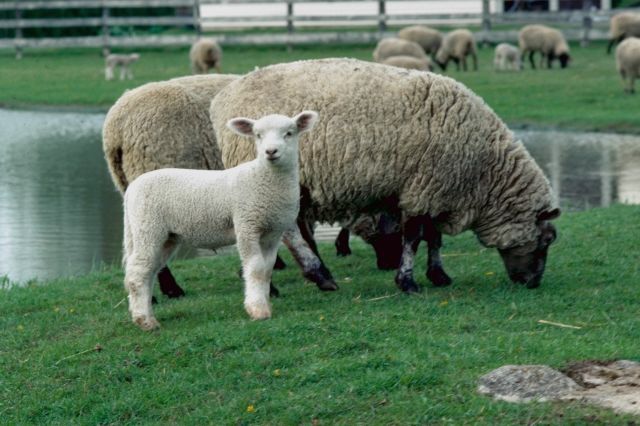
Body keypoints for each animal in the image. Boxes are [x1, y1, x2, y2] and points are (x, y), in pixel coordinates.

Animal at [122, 111, 318, 330]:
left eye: (289, 133)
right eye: (258, 135)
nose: (270, 151)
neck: (263, 178)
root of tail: (132, 188)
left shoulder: (272, 233)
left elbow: (266, 270)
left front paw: (265, 304)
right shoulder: (246, 224)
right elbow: (255, 268)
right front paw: (257, 309)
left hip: (165, 236)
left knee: (149, 270)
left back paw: (146, 314)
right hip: (148, 227)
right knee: (138, 272)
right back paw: (145, 320)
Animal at [210, 58, 561, 294]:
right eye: (547, 240)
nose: (533, 283)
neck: (485, 172)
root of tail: (223, 98)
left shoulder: (434, 190)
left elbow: (434, 237)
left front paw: (438, 276)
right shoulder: (425, 186)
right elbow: (415, 238)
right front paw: (407, 281)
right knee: (288, 232)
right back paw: (318, 276)